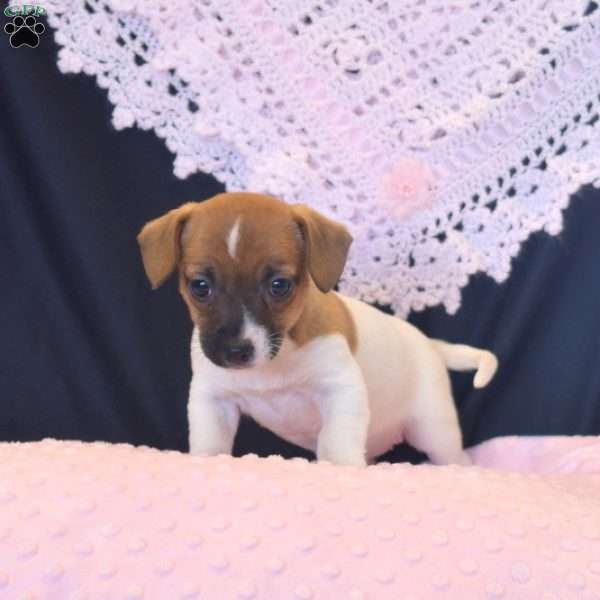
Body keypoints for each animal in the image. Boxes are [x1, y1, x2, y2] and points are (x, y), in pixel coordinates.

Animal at [137, 195, 496, 466]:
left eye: (279, 285)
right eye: (200, 286)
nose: (236, 351)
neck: (279, 355)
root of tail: (431, 345)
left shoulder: (340, 390)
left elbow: (336, 443)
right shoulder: (214, 400)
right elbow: (210, 443)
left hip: (434, 430)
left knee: (457, 457)